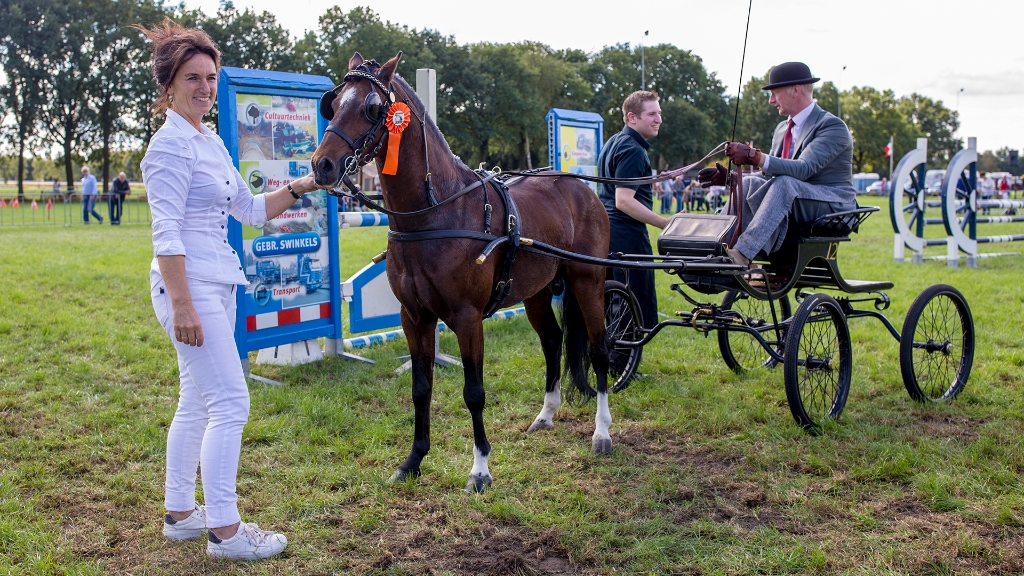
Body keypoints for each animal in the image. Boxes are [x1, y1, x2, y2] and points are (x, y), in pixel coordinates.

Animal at [311, 52, 610, 487]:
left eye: (371, 107)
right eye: (332, 104)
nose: (322, 165)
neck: (437, 213)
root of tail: (580, 187)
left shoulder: (468, 319)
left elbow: (474, 392)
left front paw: (480, 468)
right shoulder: (414, 316)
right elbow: (421, 388)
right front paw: (413, 460)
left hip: (588, 281)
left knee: (600, 348)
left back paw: (602, 432)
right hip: (536, 292)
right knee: (553, 341)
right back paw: (546, 415)